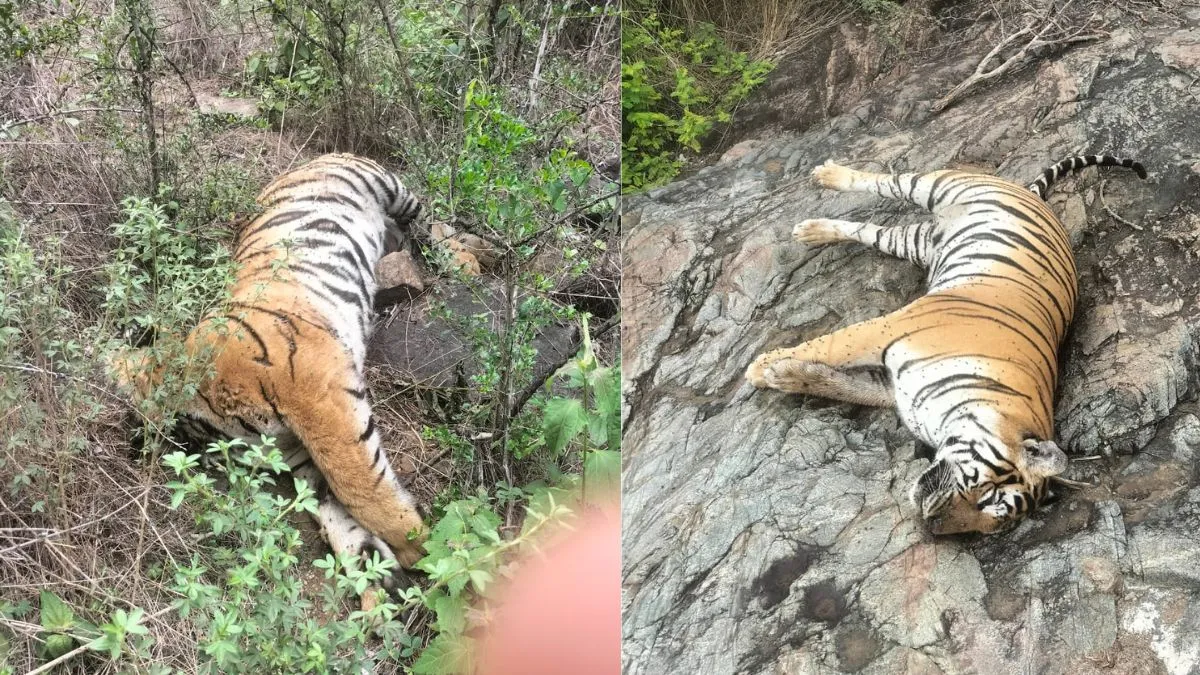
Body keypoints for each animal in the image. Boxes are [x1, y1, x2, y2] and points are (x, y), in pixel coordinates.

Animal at [112, 153, 429, 584]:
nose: (135, 447)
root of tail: (315, 157)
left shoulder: (320, 400)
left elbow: (357, 484)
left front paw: (421, 546)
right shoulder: (298, 454)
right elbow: (337, 513)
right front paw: (380, 576)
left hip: (388, 187)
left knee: (426, 216)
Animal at [745, 154, 1146, 535]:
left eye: (988, 523)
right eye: (988, 496)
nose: (932, 524)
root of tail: (1033, 196)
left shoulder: (890, 388)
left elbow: (838, 384)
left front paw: (783, 375)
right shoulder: (887, 330)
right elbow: (828, 347)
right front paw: (759, 368)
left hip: (914, 242)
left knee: (868, 230)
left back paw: (812, 231)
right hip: (938, 185)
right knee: (885, 181)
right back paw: (828, 176)